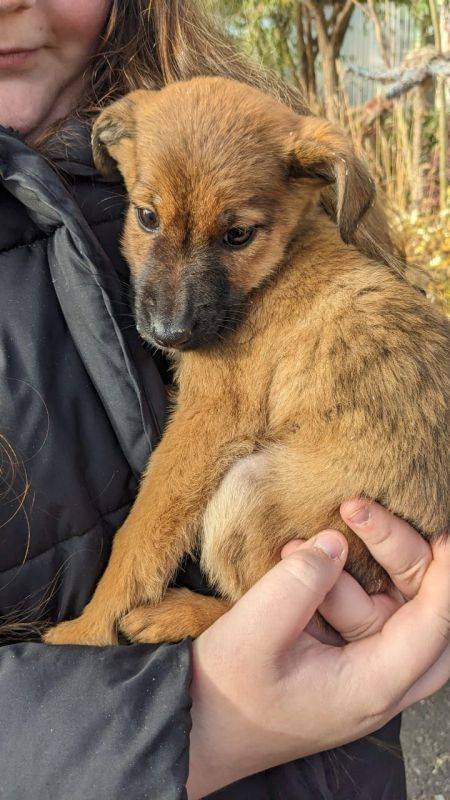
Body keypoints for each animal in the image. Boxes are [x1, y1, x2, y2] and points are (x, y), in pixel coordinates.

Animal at [44, 78, 448, 648]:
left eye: (238, 235)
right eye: (147, 217)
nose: (169, 333)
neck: (275, 268)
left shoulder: (211, 417)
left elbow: (142, 532)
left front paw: (89, 629)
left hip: (250, 491)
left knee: (284, 616)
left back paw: (173, 615)